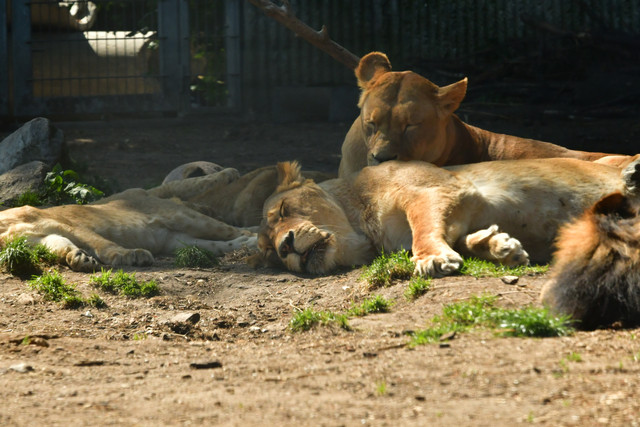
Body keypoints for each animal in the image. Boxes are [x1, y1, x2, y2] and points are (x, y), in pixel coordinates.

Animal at [0, 167, 256, 272]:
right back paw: (245, 245)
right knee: (224, 244)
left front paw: (128, 256)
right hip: (179, 241)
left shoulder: (66, 225)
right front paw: (79, 258)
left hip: (186, 218)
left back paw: (255, 240)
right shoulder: (39, 240)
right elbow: (60, 246)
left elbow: (101, 244)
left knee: (237, 230)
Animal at [251, 156, 640, 279]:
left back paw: (632, 176)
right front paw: (500, 246)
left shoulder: (433, 189)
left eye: (284, 210)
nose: (285, 247)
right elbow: (463, 238)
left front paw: (433, 259)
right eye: (269, 254)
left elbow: (423, 230)